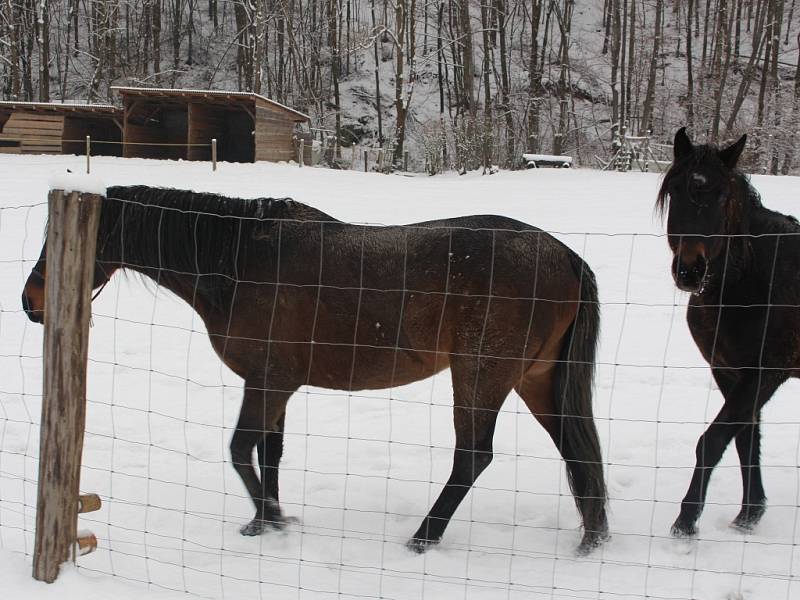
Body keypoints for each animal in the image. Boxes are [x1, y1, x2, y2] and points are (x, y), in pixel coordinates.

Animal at [20, 186, 608, 552]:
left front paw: (275, 520)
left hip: (481, 376)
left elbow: (240, 450)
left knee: (473, 457)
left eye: (69, 240)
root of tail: (563, 254)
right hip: (535, 380)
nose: (30, 301)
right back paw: (592, 538)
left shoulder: (268, 382)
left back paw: (423, 537)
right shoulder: (274, 385)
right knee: (577, 450)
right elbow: (269, 453)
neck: (241, 262)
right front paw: (264, 520)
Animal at [656, 129, 800, 536]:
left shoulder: (766, 373)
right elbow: (745, 439)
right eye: (675, 190)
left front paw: (686, 523)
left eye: (722, 196)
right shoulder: (727, 370)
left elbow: (715, 439)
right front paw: (749, 515)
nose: (691, 270)